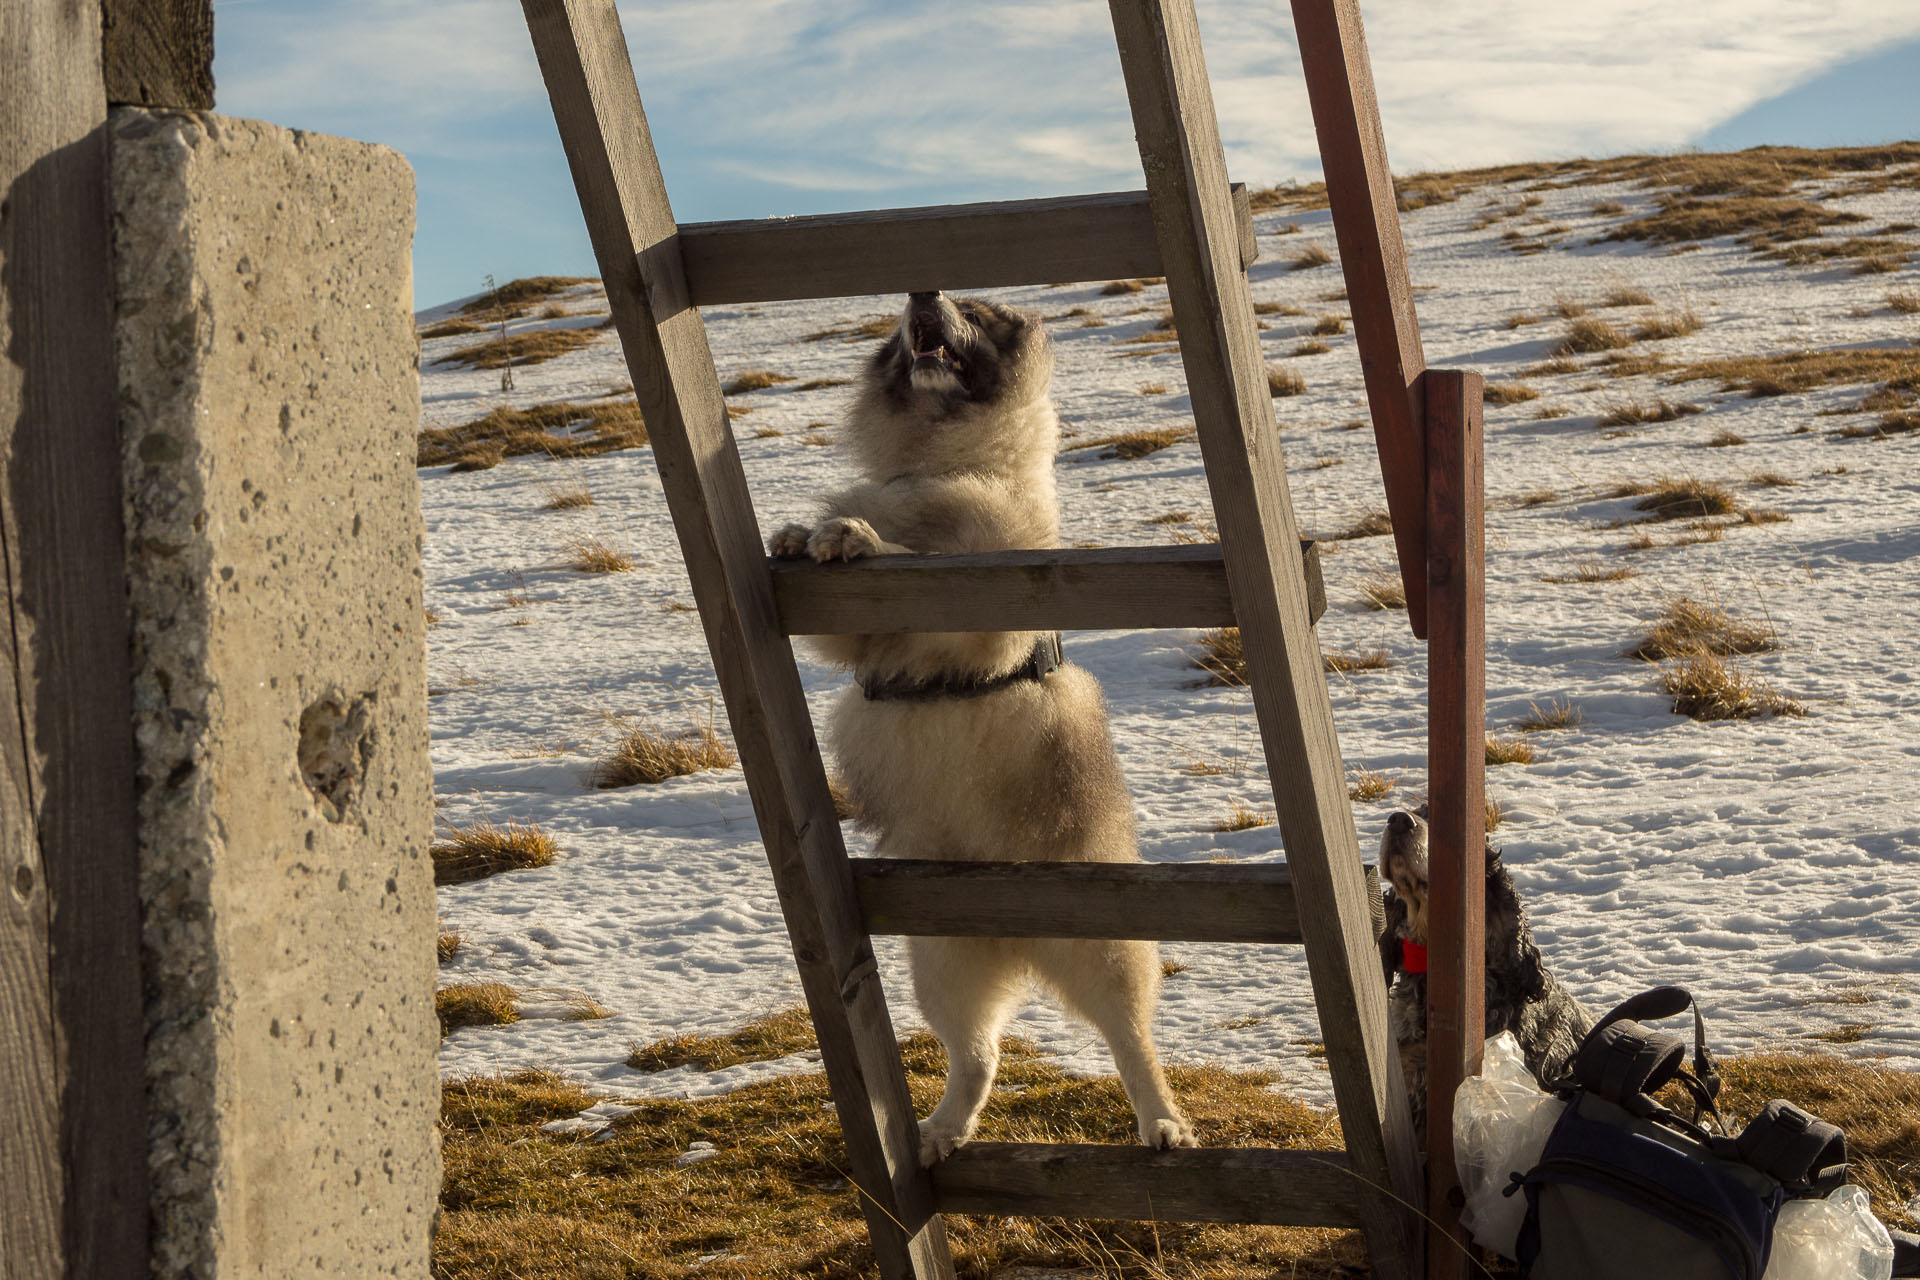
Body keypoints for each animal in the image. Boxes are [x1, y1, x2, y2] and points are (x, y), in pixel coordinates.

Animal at [768, 293, 1190, 1174]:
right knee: (979, 1055)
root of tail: (1018, 938)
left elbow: (916, 560)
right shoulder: (847, 636)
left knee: (1131, 1040)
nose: (921, 293)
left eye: (981, 311)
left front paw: (856, 534)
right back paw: (940, 1130)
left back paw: (1163, 1123)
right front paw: (801, 532)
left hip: (1103, 950)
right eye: (902, 324)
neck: (941, 464)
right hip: (944, 964)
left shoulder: (984, 601)